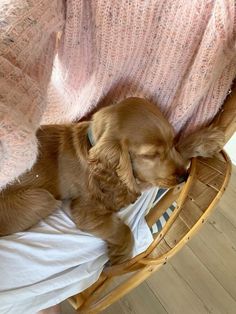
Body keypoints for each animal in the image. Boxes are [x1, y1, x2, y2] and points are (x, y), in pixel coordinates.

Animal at [0, 97, 224, 262]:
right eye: (151, 155)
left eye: (171, 141)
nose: (183, 177)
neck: (89, 144)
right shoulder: (87, 209)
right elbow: (121, 227)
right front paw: (121, 254)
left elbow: (178, 151)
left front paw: (205, 140)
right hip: (41, 198)